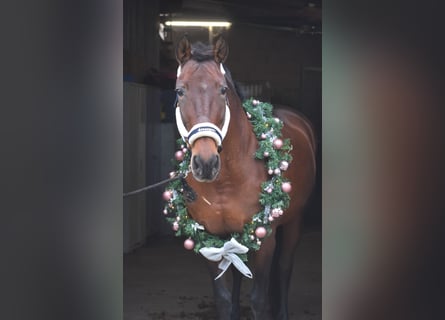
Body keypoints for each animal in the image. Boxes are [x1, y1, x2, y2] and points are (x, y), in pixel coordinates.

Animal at [173, 36, 316, 320]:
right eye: (180, 91)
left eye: (222, 90)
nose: (206, 164)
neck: (226, 181)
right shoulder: (210, 239)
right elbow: (223, 298)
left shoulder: (266, 240)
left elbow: (259, 300)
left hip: (294, 221)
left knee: (284, 268)